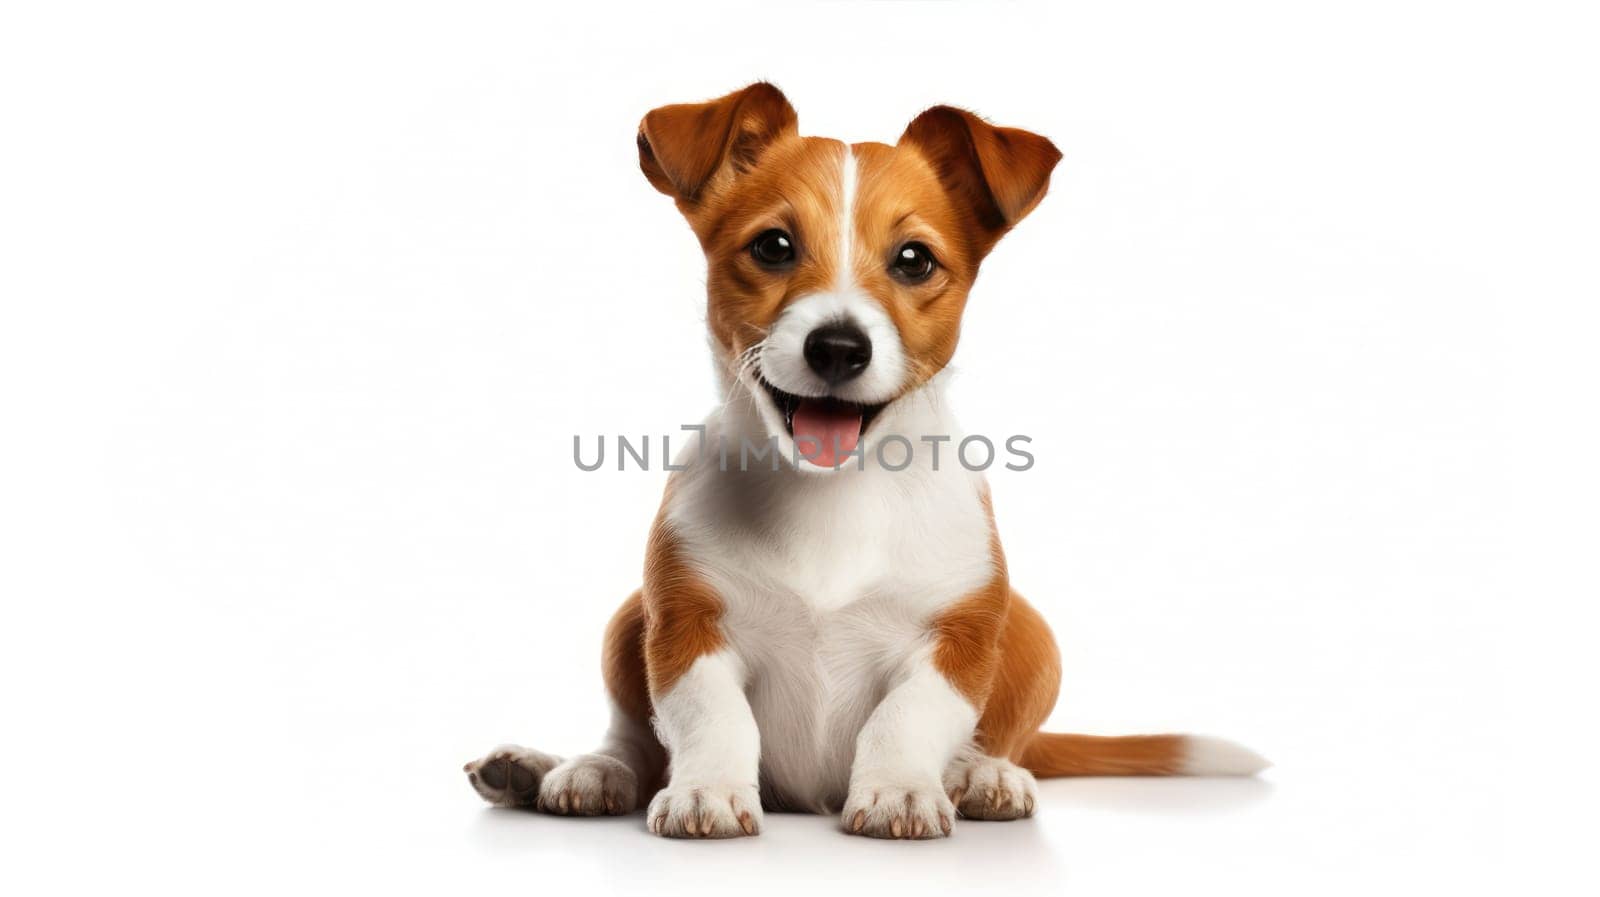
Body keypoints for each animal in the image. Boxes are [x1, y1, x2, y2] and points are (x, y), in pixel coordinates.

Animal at [467, 83, 1267, 837]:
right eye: (774, 247)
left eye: (914, 260)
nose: (838, 347)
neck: (833, 493)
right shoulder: (686, 626)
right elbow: (709, 716)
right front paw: (708, 789)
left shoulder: (957, 639)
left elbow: (907, 716)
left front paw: (901, 789)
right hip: (625, 620)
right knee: (635, 738)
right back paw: (572, 770)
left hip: (1033, 634)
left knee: (999, 739)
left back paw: (985, 775)